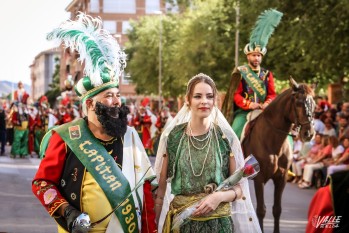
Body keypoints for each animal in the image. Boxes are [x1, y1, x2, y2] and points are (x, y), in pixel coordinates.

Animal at [241, 78, 314, 233]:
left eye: (314, 104)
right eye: (298, 103)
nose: (309, 133)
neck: (273, 142)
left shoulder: (282, 178)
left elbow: (277, 209)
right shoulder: (259, 179)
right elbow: (261, 210)